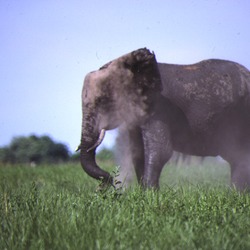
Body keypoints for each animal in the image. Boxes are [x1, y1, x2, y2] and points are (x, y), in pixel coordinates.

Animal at [78, 47, 250, 189]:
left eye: (103, 100)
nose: (110, 182)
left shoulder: (158, 108)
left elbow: (160, 152)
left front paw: (150, 197)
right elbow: (138, 153)